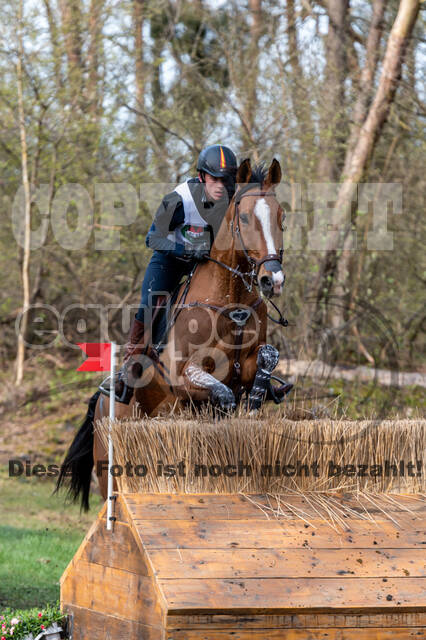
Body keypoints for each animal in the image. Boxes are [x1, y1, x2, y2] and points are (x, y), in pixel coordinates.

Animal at [55, 160, 292, 510]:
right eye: (246, 217)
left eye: (281, 217)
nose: (272, 279)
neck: (230, 297)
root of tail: (100, 404)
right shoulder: (184, 375)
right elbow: (222, 392)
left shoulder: (247, 362)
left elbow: (266, 358)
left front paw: (257, 399)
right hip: (109, 465)